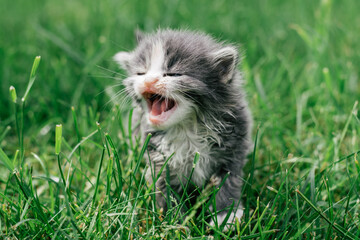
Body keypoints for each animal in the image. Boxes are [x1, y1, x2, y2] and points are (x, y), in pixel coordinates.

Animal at [114, 29, 252, 228]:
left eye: (173, 74)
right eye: (141, 73)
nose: (148, 81)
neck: (186, 127)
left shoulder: (233, 149)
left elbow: (228, 182)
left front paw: (225, 217)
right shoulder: (157, 160)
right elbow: (166, 193)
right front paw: (175, 224)